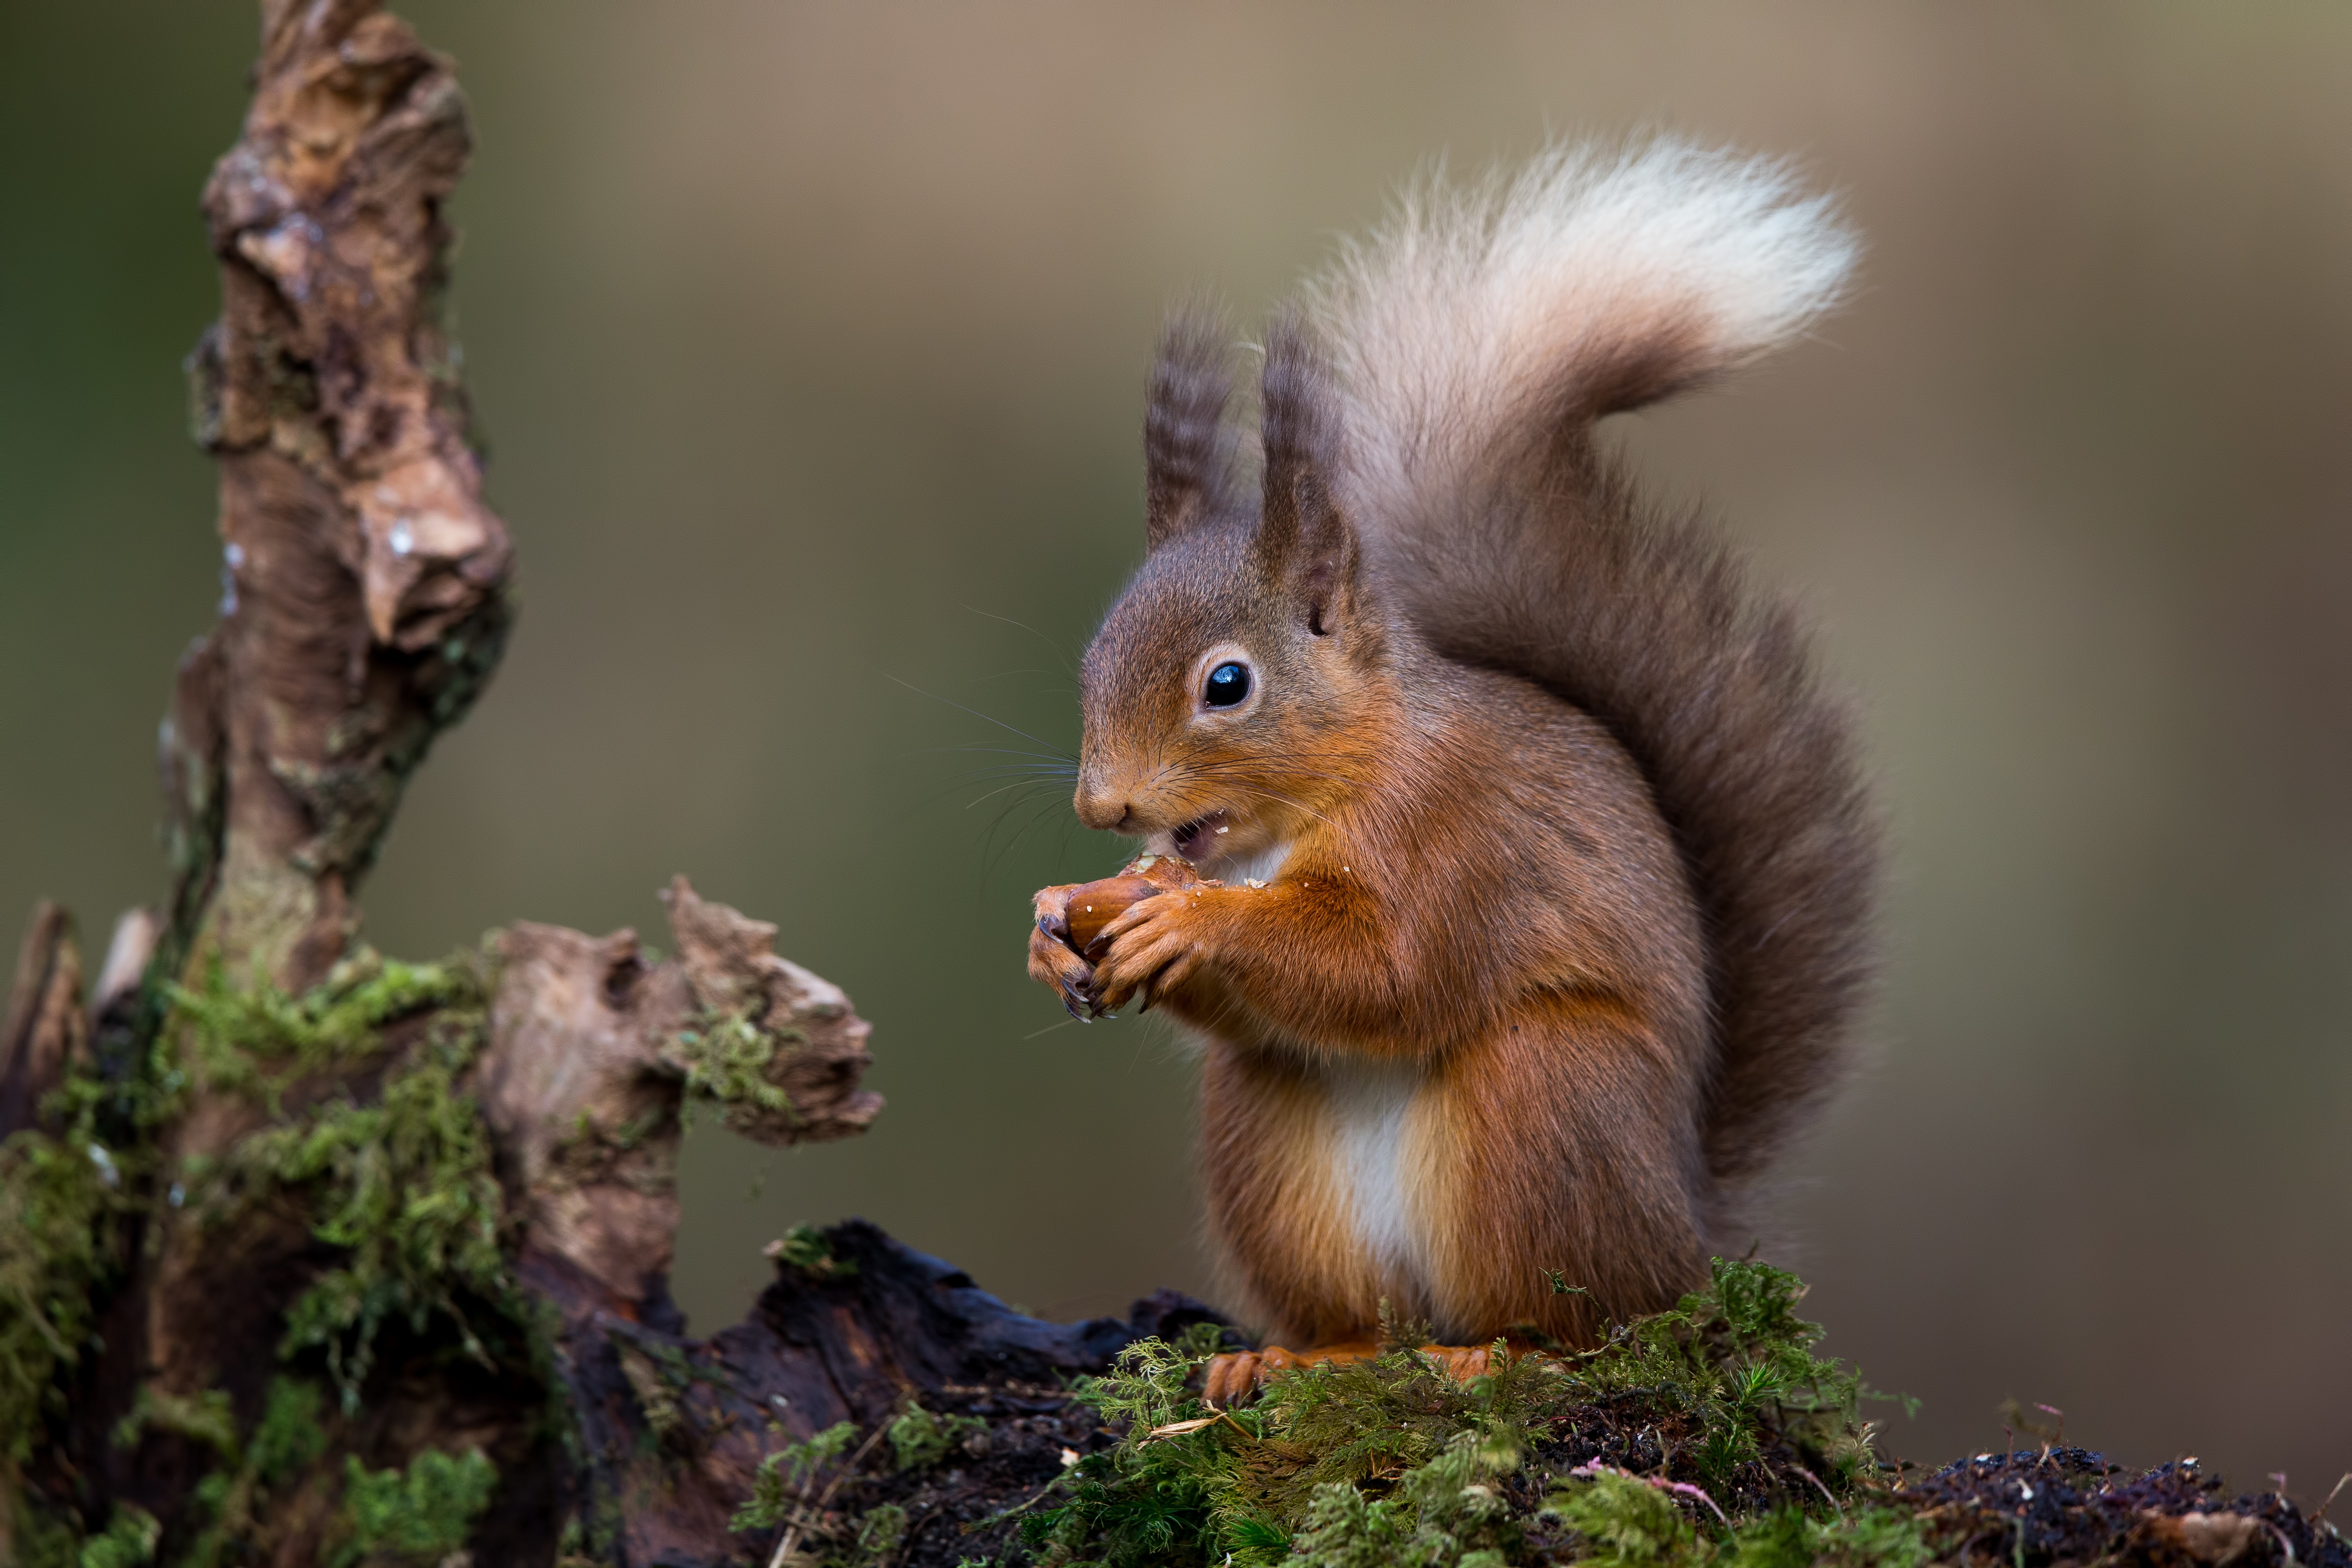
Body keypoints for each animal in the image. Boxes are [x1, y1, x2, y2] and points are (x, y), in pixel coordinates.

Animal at [1030, 141, 1872, 1401]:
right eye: (1090, 656)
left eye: (1225, 684)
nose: (1103, 805)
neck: (1299, 815)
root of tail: (1688, 1233)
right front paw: (1056, 924)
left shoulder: (1462, 834)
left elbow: (1389, 970)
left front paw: (1191, 921)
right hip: (1266, 1139)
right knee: (1354, 1306)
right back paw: (1288, 1355)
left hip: (1546, 1102)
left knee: (1582, 1317)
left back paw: (1494, 1349)